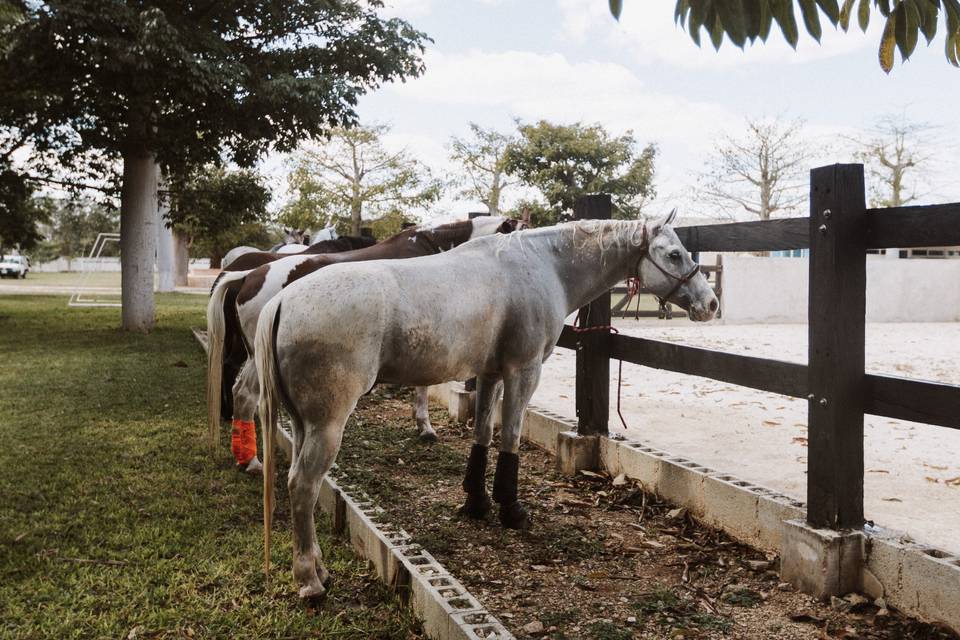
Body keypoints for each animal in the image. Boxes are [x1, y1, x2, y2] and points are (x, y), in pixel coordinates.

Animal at [255, 212, 720, 596]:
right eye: (674, 254)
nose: (710, 303)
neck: (542, 265)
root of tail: (282, 301)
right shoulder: (523, 372)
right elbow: (510, 436)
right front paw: (511, 509)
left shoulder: (491, 374)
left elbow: (482, 433)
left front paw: (476, 502)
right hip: (328, 424)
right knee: (303, 485)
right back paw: (310, 581)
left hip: (303, 423)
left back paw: (318, 568)